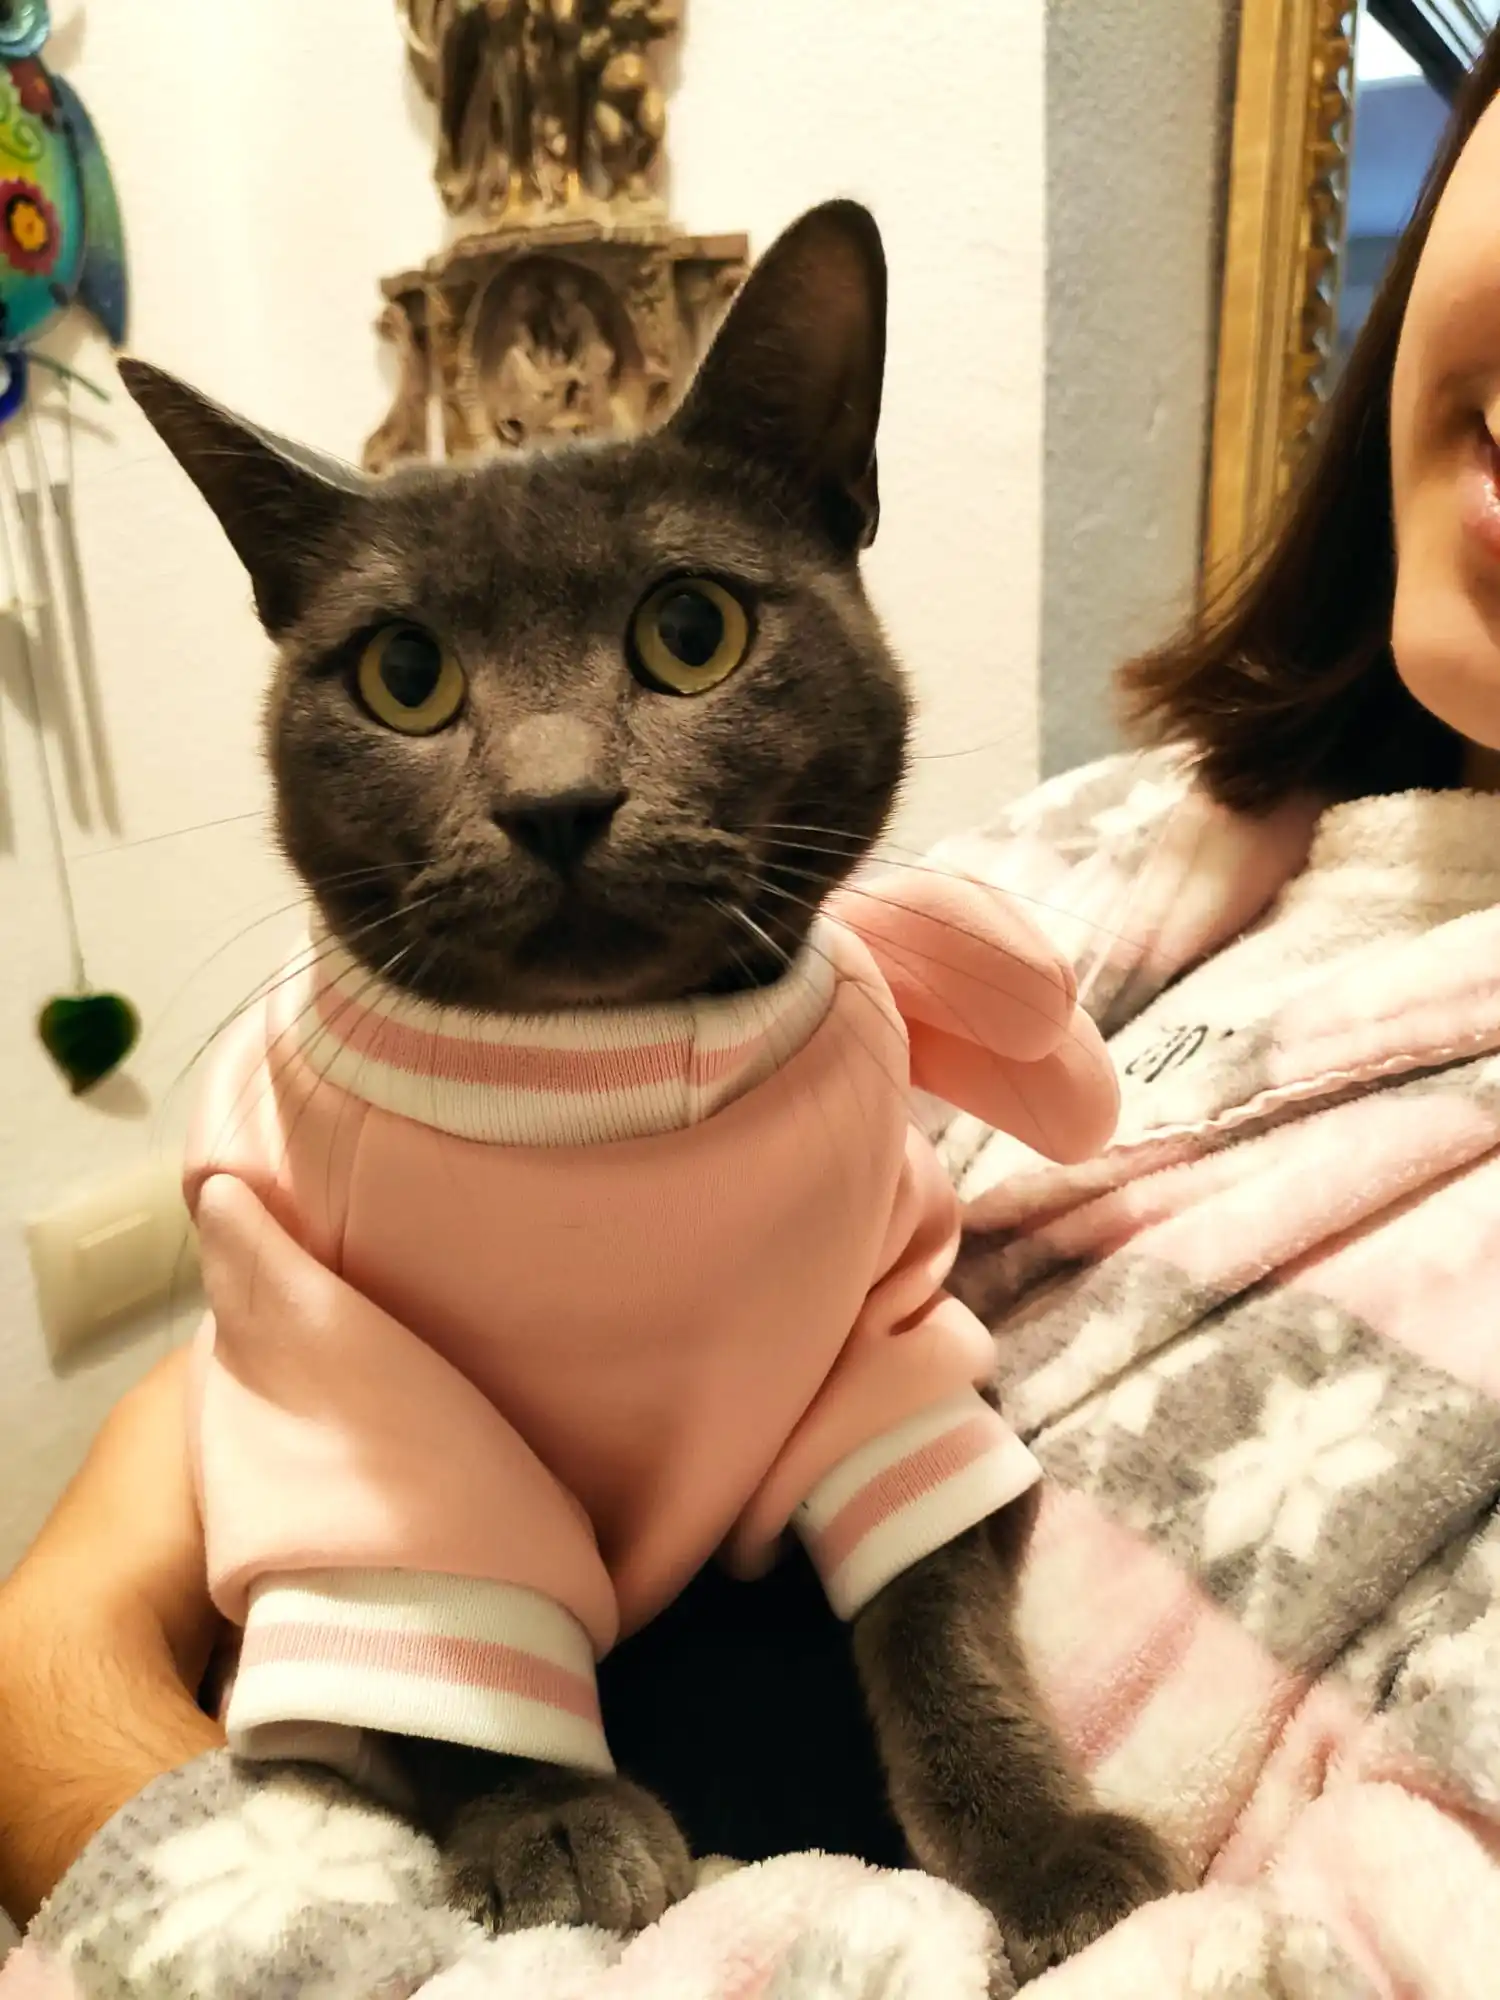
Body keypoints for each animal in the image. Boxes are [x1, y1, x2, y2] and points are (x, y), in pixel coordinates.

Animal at [120, 199, 1183, 1981]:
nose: (557, 802)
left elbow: (935, 1612)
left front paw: (1048, 1847)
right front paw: (553, 1829)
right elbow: (451, 1647)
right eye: (403, 674)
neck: (599, 1095)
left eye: (693, 632)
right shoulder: (350, 1399)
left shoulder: (892, 1355)